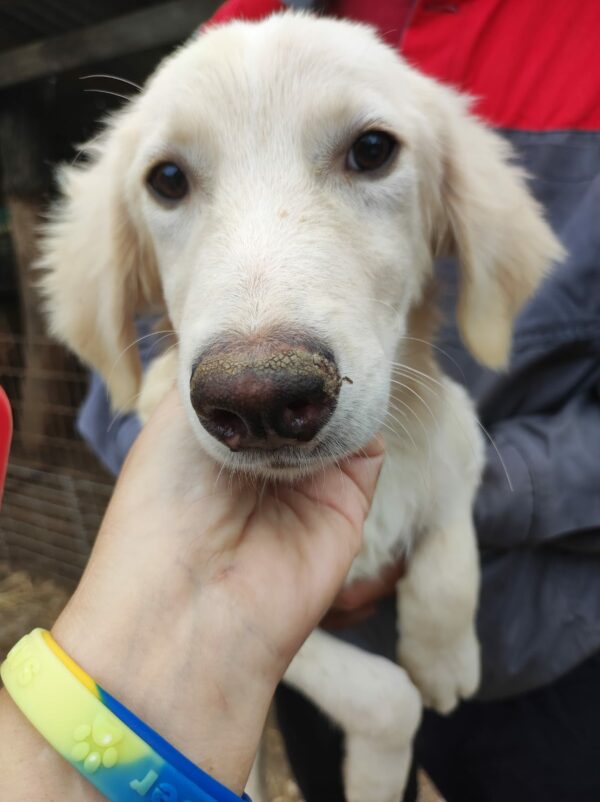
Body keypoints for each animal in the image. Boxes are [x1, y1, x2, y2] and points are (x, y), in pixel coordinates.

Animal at [37, 12, 564, 800]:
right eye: (167, 180)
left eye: (372, 150)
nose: (258, 398)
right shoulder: (294, 640)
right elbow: (387, 697)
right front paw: (383, 766)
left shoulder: (455, 433)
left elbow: (451, 536)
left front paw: (445, 658)